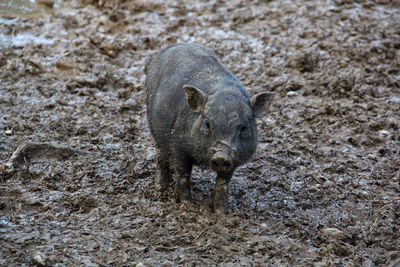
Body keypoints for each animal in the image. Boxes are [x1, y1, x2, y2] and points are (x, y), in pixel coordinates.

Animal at [145, 44, 274, 216]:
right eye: (207, 124)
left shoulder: (234, 160)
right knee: (160, 157)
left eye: (244, 128)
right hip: (154, 128)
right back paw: (160, 189)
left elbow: (222, 184)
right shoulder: (178, 146)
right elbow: (183, 175)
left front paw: (222, 213)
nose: (221, 155)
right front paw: (187, 206)